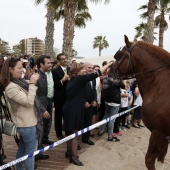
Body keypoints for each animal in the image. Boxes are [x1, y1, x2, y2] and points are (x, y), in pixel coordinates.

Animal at [112, 35, 170, 169]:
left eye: (118, 55)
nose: (109, 71)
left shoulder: (158, 132)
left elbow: (150, 160)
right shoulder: (164, 135)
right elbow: (161, 157)